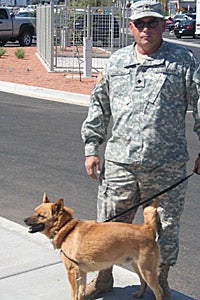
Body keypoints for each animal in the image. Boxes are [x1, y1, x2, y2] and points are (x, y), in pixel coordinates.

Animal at [24, 193, 163, 300]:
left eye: (40, 216)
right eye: (34, 212)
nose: (25, 220)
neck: (65, 228)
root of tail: (147, 228)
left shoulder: (71, 271)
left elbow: (73, 294)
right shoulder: (81, 272)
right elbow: (80, 294)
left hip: (146, 269)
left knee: (158, 291)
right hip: (138, 266)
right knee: (143, 282)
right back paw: (139, 294)